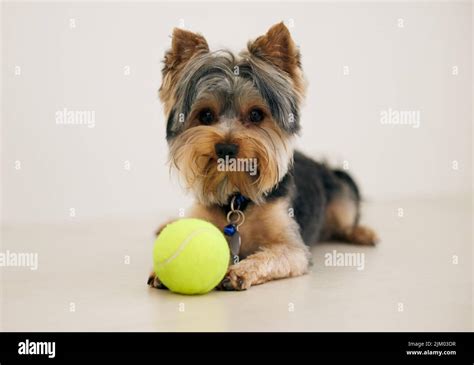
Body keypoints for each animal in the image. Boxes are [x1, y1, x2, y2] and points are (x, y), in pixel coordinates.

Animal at [148, 22, 378, 290]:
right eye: (205, 115)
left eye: (256, 115)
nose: (226, 148)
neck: (237, 199)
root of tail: (323, 166)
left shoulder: (292, 247)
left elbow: (269, 256)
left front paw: (239, 271)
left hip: (341, 199)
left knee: (348, 219)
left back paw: (363, 233)